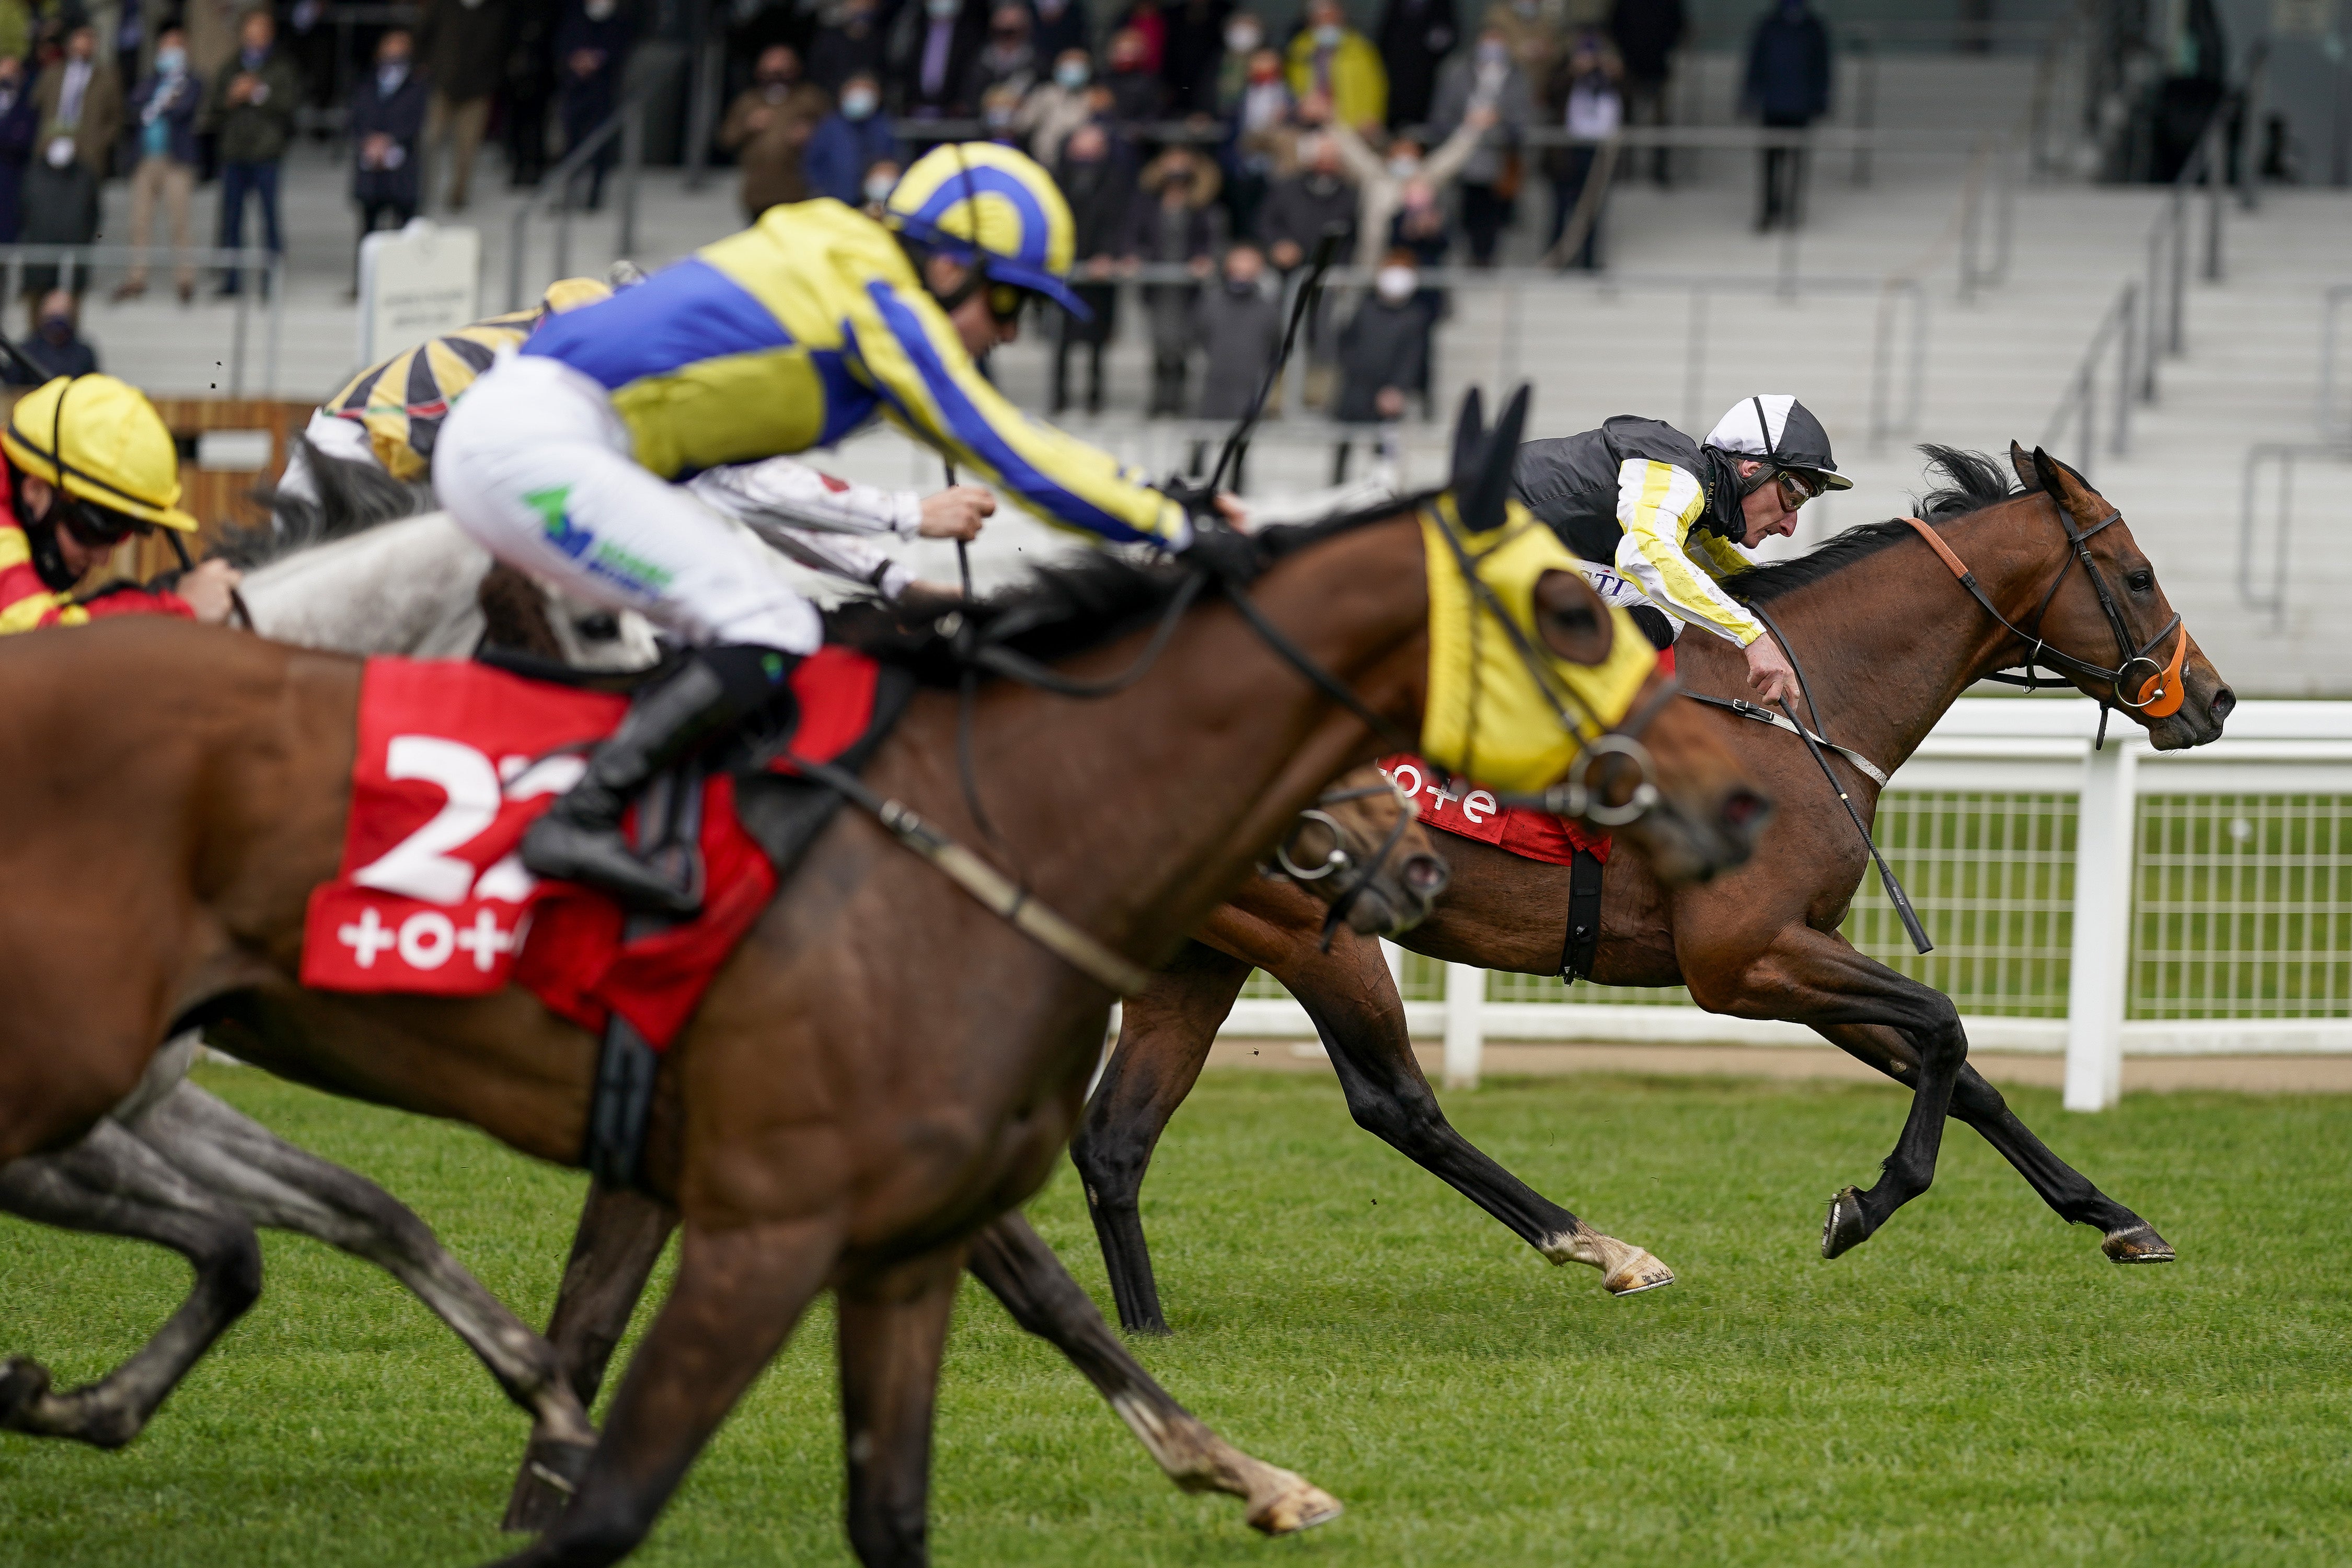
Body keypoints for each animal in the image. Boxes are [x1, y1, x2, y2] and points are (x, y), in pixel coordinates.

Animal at [1077, 444, 2230, 1335]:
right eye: (2136, 575)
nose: (2214, 699)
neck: (1795, 711)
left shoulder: (1795, 945)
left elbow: (1960, 1067)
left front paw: (2117, 1219)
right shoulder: (1743, 957)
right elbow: (1943, 1024)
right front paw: (1865, 1205)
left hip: (1207, 947)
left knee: (1115, 1141)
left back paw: (1144, 1328)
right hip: (1315, 932)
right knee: (1395, 1104)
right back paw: (1604, 1248)